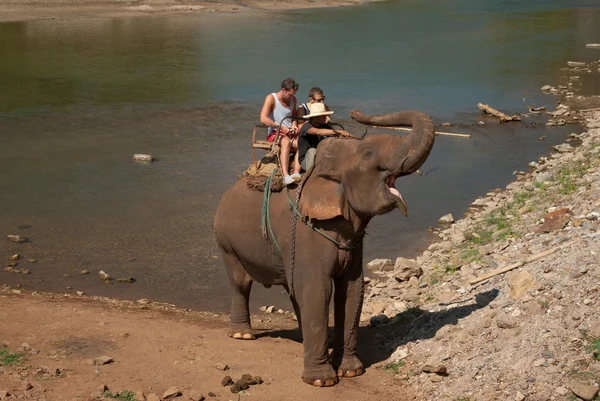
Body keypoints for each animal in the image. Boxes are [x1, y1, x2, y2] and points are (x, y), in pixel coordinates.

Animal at [214, 108, 436, 386]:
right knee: (241, 283)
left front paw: (351, 371)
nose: (355, 113)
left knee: (292, 289)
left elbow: (352, 289)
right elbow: (319, 289)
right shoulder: (308, 231)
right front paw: (322, 381)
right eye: (368, 153)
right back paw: (243, 335)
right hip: (226, 241)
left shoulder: (352, 240)